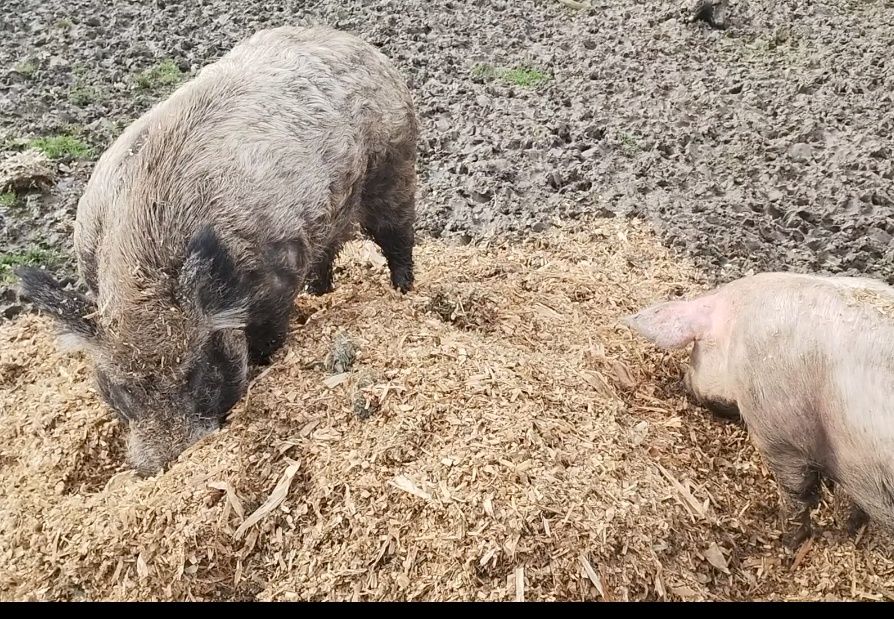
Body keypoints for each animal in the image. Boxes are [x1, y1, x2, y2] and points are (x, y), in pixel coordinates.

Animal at [628, 272, 894, 548]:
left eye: (695, 350)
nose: (685, 383)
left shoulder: (778, 431)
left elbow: (796, 491)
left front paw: (789, 542)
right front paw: (850, 527)